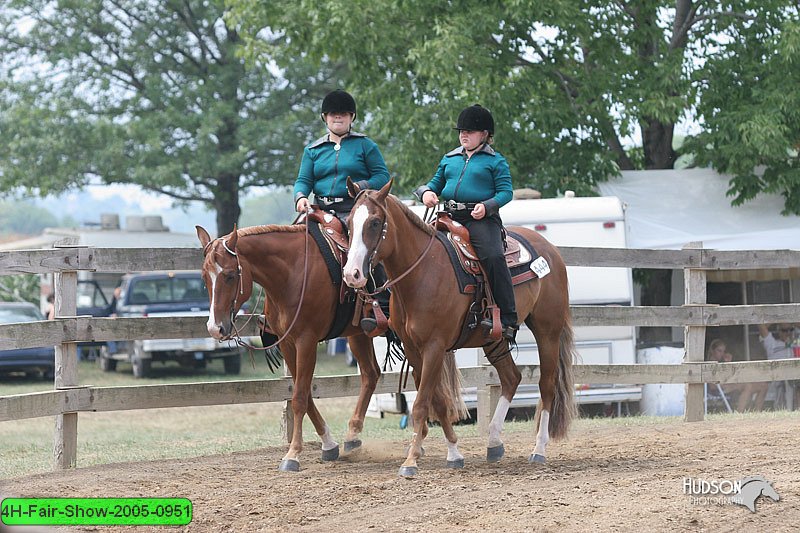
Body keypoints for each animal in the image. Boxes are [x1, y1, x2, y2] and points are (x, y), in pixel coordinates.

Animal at [342, 180, 576, 478]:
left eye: (374, 222)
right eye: (349, 221)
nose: (352, 274)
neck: (422, 273)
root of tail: (551, 250)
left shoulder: (435, 346)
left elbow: (421, 404)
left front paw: (410, 462)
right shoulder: (414, 348)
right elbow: (438, 401)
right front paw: (453, 452)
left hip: (548, 331)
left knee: (547, 386)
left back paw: (539, 449)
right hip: (493, 338)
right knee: (511, 378)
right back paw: (493, 441)